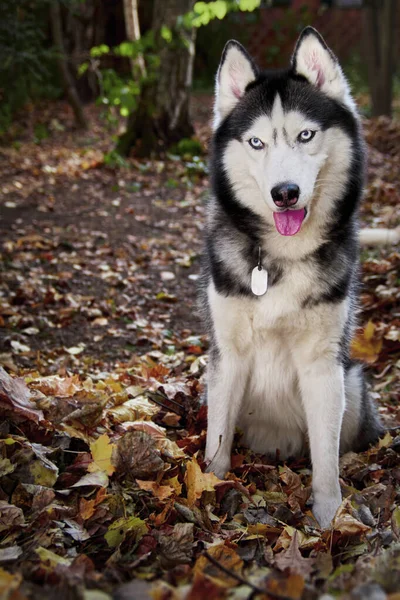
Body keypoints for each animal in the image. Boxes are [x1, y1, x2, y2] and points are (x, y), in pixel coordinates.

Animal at [202, 28, 382, 524]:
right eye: (256, 143)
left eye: (306, 135)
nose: (285, 193)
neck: (283, 255)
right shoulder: (227, 356)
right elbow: (216, 440)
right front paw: (206, 490)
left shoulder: (323, 366)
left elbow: (326, 458)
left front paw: (331, 517)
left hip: (352, 382)